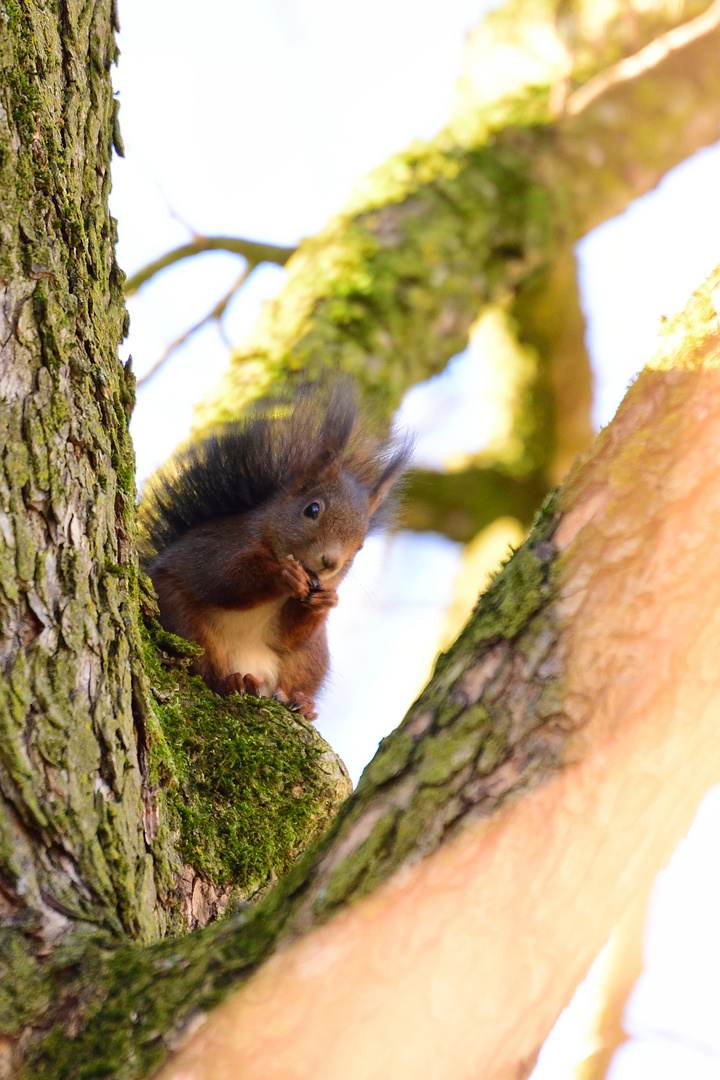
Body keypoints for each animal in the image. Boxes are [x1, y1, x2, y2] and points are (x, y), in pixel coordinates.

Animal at [140, 384, 410, 721]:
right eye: (312, 509)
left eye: (360, 545)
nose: (330, 563)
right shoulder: (221, 548)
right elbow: (225, 581)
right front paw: (283, 574)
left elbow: (290, 633)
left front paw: (326, 601)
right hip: (186, 625)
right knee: (204, 667)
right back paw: (233, 682)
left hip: (308, 660)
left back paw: (301, 702)